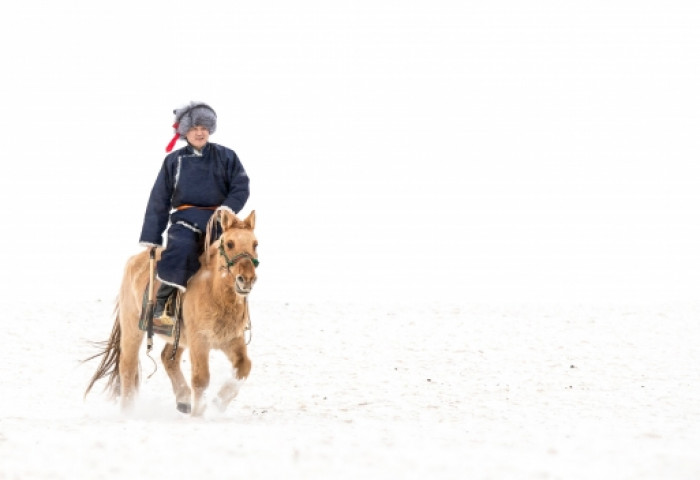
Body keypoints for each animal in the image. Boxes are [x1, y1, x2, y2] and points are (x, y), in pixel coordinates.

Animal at [84, 210, 258, 416]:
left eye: (255, 244)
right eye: (230, 243)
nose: (246, 279)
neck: (216, 294)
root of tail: (134, 260)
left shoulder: (232, 340)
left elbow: (244, 367)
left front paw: (218, 403)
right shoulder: (199, 342)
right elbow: (200, 380)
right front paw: (198, 414)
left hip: (177, 337)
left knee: (167, 358)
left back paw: (183, 400)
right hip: (132, 328)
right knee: (127, 366)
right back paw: (128, 411)